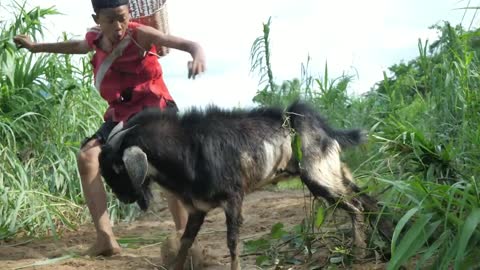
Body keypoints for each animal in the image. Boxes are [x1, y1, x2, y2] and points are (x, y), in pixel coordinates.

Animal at [99, 102, 392, 270]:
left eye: (118, 168)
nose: (123, 199)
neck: (187, 149)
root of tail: (322, 128)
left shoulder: (233, 198)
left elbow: (232, 243)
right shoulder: (197, 210)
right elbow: (184, 244)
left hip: (317, 177)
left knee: (355, 206)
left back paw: (359, 252)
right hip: (335, 172)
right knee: (370, 201)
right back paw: (385, 242)